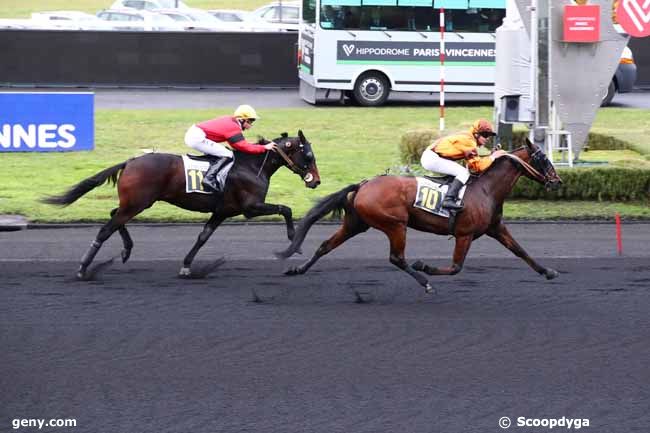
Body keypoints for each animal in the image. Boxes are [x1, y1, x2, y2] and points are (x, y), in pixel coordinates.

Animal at [41, 130, 320, 278]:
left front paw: (186, 266)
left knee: (113, 215)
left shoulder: (222, 211)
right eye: (308, 155)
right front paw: (294, 241)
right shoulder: (250, 207)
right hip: (138, 203)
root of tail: (130, 161)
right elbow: (286, 209)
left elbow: (203, 237)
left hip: (134, 202)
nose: (316, 181)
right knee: (105, 228)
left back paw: (126, 250)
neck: (251, 166)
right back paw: (83, 268)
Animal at [276, 138, 560, 294]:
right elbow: (456, 267)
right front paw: (426, 266)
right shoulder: (464, 233)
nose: (557, 180)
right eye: (544, 159)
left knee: (325, 246)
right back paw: (424, 280)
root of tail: (363, 184)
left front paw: (548, 271)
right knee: (397, 258)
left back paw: (297, 269)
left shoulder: (496, 227)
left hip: (357, 223)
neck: (486, 189)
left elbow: (520, 250)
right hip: (395, 224)